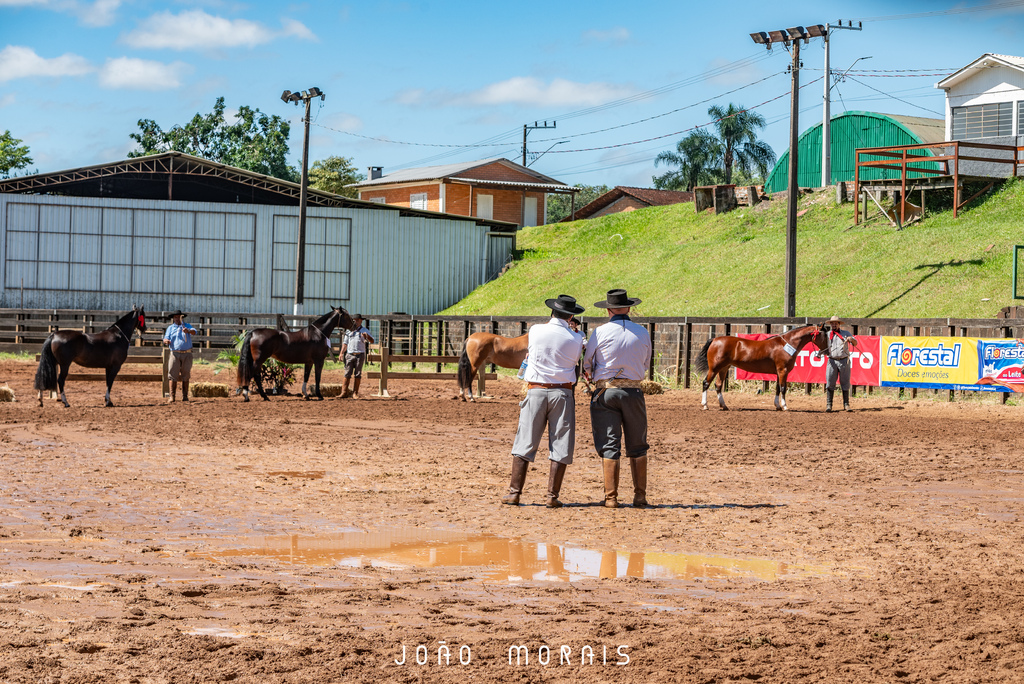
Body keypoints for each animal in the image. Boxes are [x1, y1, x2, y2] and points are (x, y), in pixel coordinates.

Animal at [692, 325, 827, 413]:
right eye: (824, 335)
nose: (826, 351)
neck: (787, 344)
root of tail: (714, 339)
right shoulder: (783, 370)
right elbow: (783, 388)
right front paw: (784, 406)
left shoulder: (778, 372)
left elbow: (777, 388)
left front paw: (777, 406)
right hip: (714, 368)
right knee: (706, 383)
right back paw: (705, 405)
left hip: (724, 368)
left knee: (718, 385)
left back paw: (724, 406)